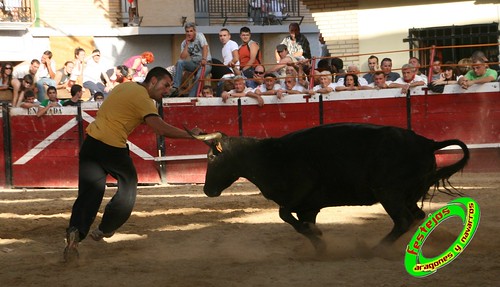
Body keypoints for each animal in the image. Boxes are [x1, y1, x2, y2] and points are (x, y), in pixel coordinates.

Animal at [192, 122, 468, 253]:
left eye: (212, 157)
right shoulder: (308, 206)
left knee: (403, 221)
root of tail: (427, 143)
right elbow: (300, 223)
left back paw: (374, 249)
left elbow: (286, 215)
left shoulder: (300, 195)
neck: (268, 156)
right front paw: (320, 247)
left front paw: (318, 236)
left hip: (389, 193)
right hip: (407, 195)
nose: (207, 190)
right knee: (417, 217)